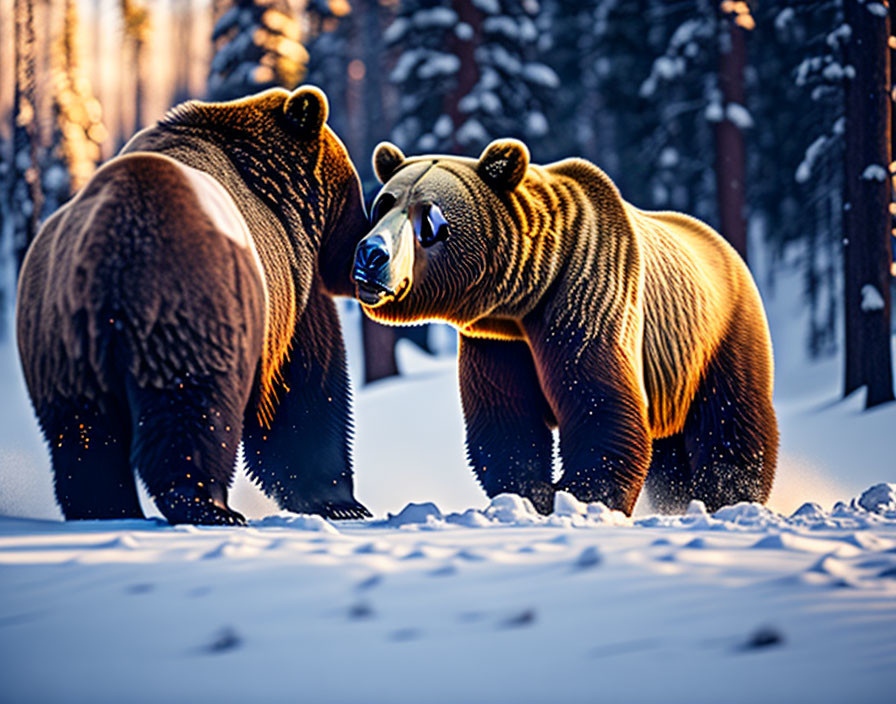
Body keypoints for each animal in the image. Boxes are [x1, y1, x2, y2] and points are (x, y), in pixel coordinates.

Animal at [17, 86, 370, 524]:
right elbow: (303, 392)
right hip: (186, 303)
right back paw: (208, 505)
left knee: (83, 435)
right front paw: (340, 502)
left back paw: (106, 510)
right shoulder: (287, 286)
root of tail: (109, 243)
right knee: (191, 408)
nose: (363, 247)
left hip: (58, 339)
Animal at [350, 140, 776, 516]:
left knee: (730, 422)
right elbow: (506, 421)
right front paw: (529, 495)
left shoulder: (586, 298)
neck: (523, 295)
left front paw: (581, 497)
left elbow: (601, 404)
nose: (371, 253)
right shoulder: (496, 341)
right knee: (668, 454)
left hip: (719, 336)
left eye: (430, 218)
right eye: (382, 205)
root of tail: (724, 245)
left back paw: (726, 497)